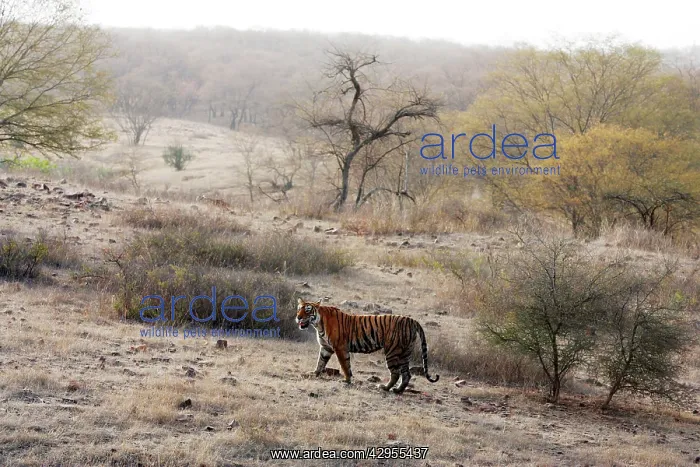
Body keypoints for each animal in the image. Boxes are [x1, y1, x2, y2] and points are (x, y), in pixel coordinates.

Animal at [296, 298, 440, 394]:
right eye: (299, 309)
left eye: (307, 310)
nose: (298, 318)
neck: (318, 324)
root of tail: (412, 320)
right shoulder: (326, 348)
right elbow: (321, 362)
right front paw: (314, 373)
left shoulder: (340, 347)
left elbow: (344, 365)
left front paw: (346, 380)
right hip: (405, 352)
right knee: (407, 374)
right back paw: (398, 390)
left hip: (392, 351)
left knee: (395, 373)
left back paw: (385, 388)